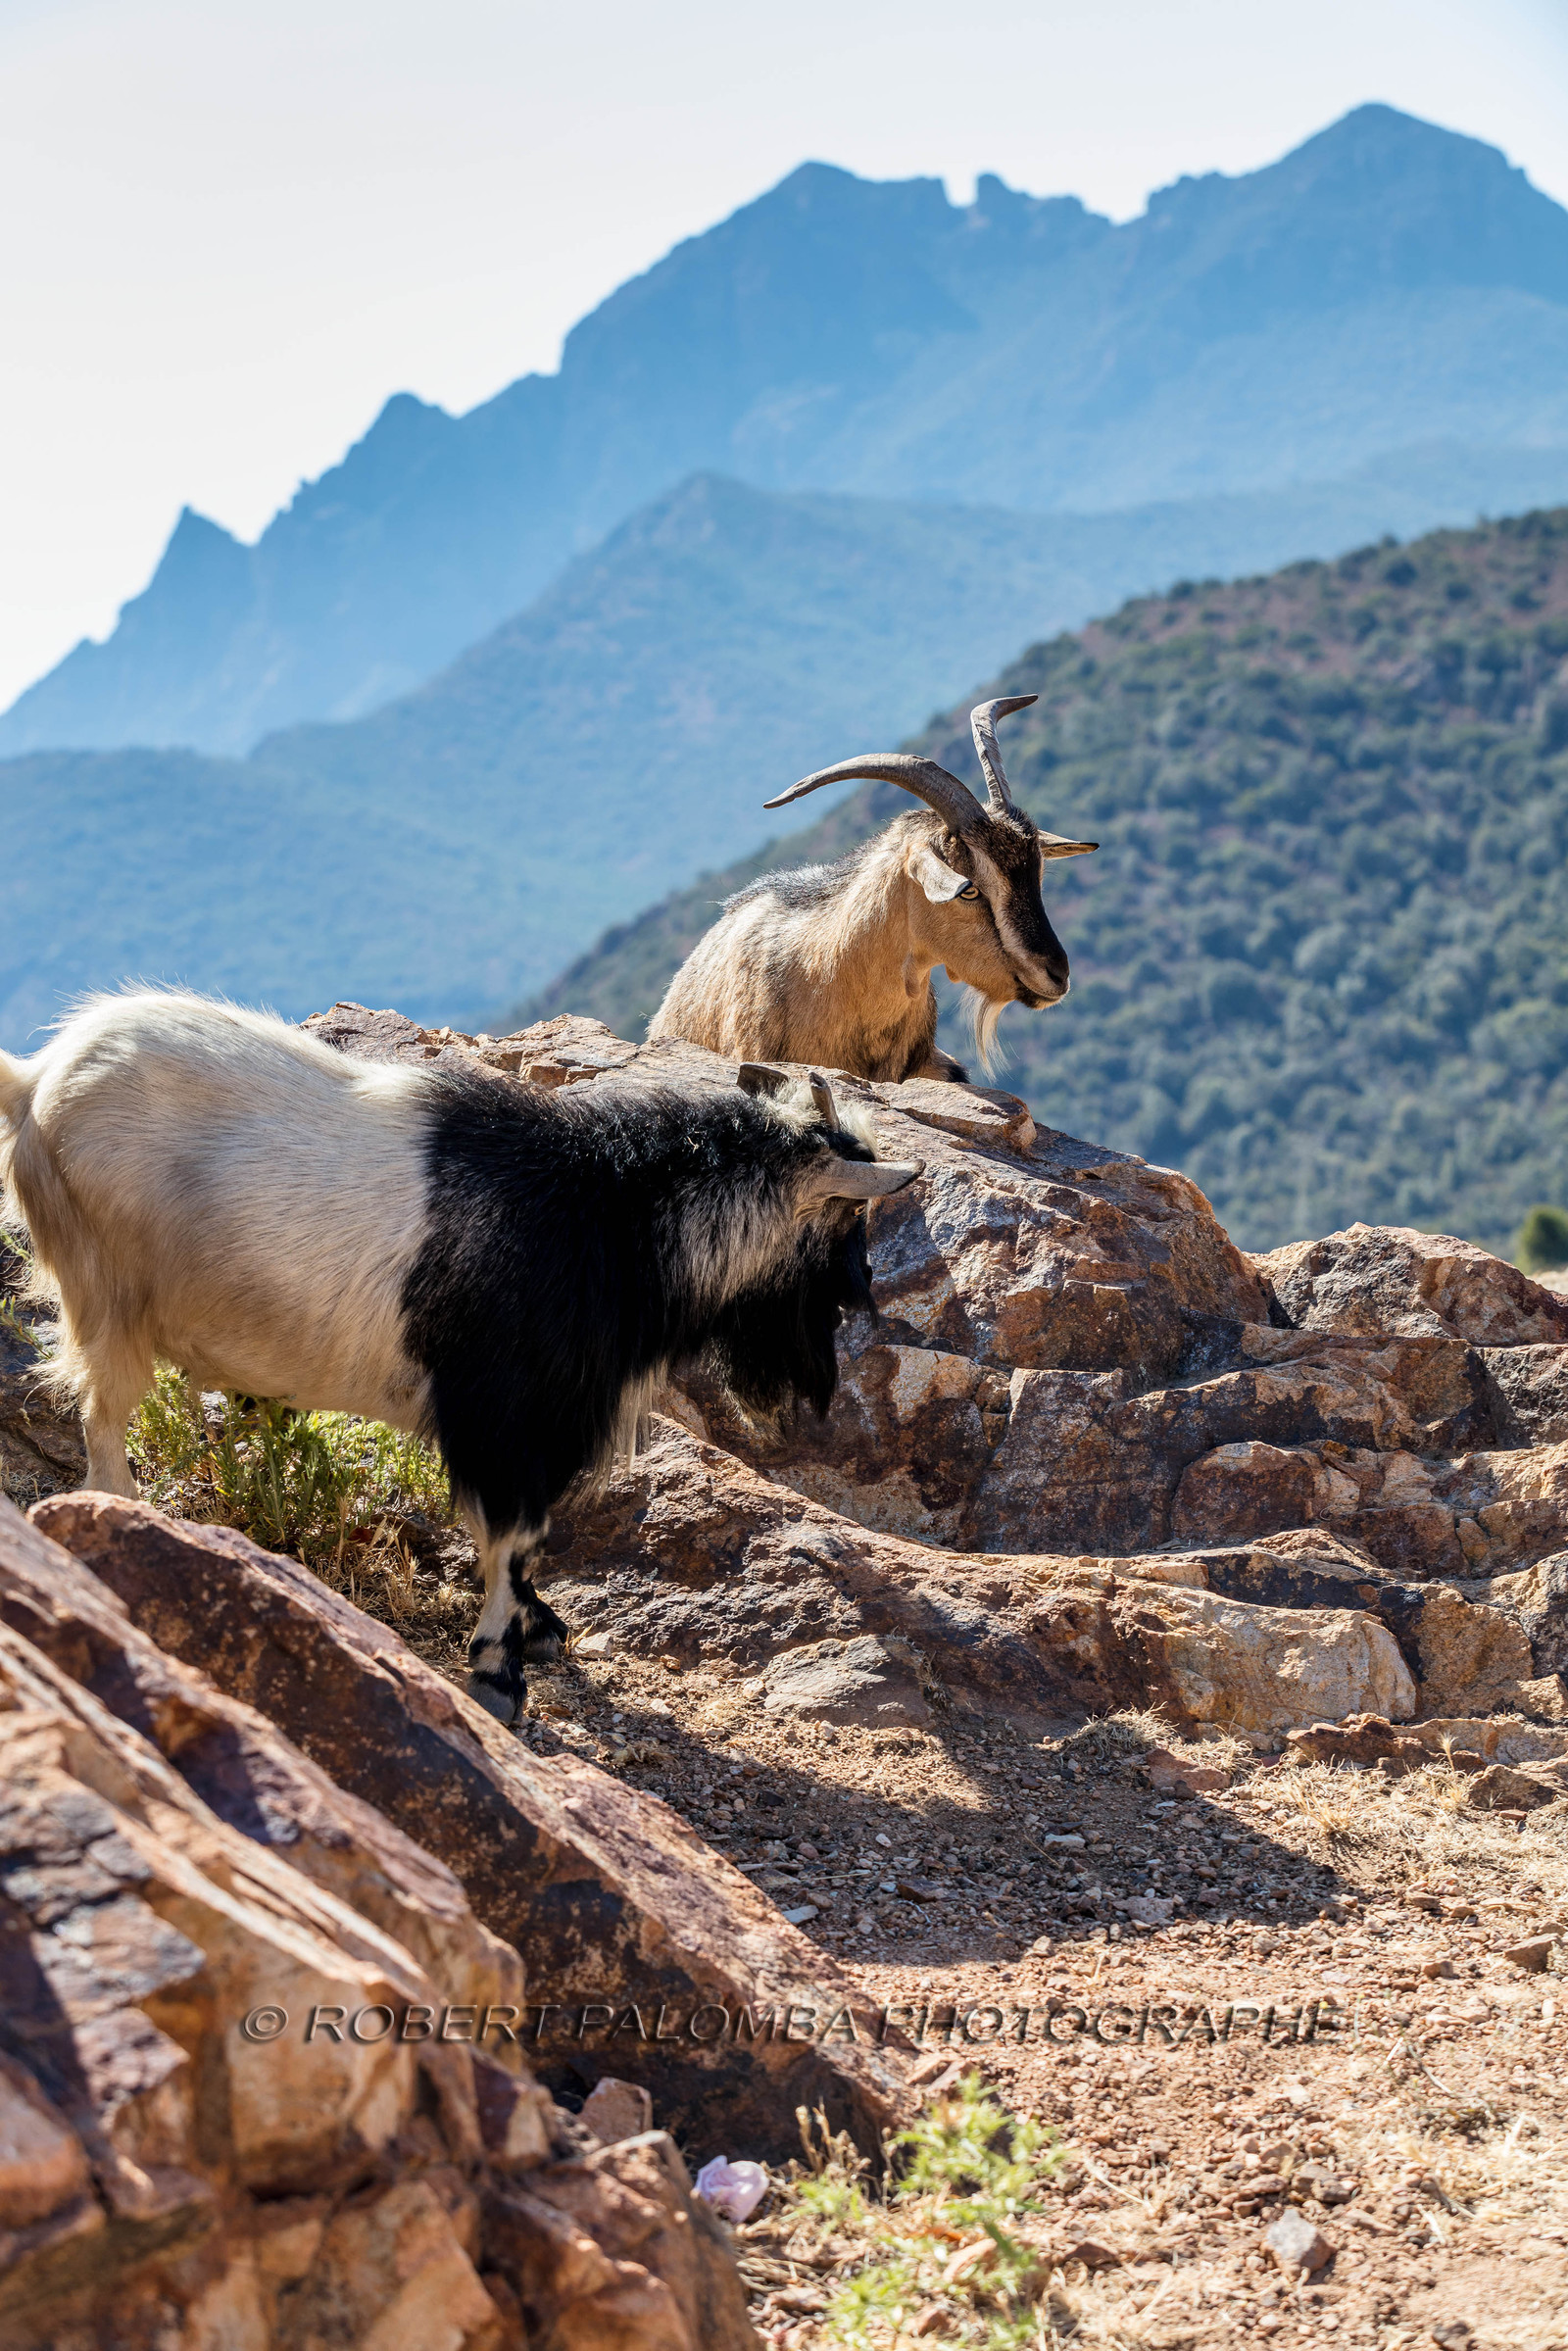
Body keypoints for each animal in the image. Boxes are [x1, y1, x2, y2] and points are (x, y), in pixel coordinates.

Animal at [0, 992, 920, 1723]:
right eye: (841, 1226)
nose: (819, 1379)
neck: (608, 1215)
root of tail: (36, 1077)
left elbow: (530, 1543)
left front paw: (538, 1627)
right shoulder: (504, 1416)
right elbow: (515, 1536)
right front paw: (498, 1671)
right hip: (106, 1299)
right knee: (103, 1427)